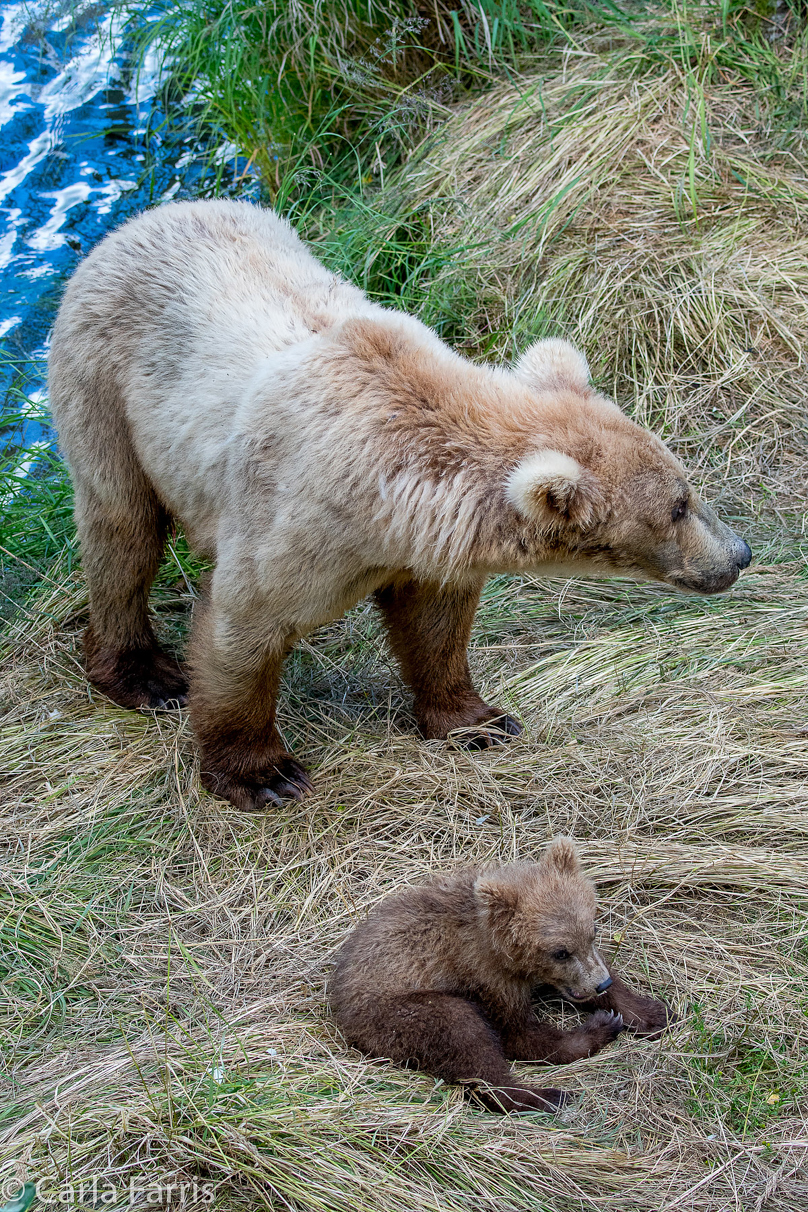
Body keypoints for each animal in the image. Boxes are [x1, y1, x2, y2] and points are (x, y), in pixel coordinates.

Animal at [50, 198, 751, 809]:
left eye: (688, 484)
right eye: (678, 507)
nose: (740, 553)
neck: (384, 503)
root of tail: (140, 220)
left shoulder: (423, 548)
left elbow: (435, 624)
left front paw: (478, 720)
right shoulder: (291, 517)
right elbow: (243, 630)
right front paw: (265, 775)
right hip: (106, 390)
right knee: (122, 530)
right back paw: (142, 674)